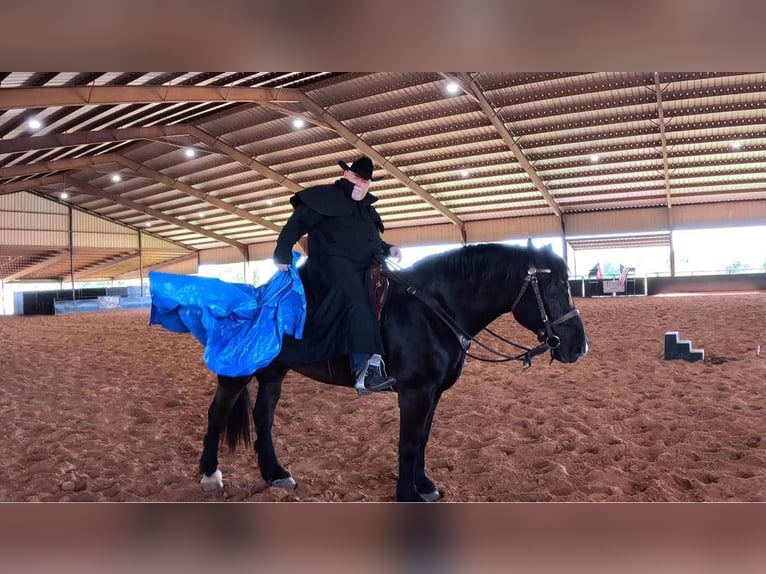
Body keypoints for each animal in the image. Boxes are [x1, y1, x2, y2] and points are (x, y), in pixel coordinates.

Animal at [196, 244, 588, 504]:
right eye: (555, 289)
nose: (579, 347)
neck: (433, 311)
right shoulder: (414, 392)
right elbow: (409, 442)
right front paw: (408, 494)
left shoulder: (433, 393)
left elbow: (423, 439)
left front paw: (424, 484)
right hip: (238, 374)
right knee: (217, 414)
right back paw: (210, 475)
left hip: (274, 373)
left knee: (263, 417)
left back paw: (275, 473)